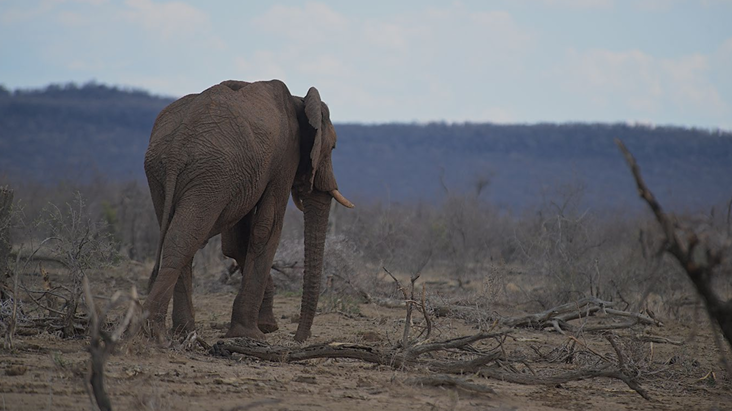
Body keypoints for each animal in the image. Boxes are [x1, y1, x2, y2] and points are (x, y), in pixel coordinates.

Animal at [142, 79, 353, 342]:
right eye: (332, 147)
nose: (298, 338)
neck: (300, 101)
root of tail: (176, 147)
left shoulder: (246, 176)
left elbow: (236, 243)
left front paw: (265, 326)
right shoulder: (285, 158)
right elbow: (267, 228)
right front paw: (252, 334)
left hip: (166, 173)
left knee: (180, 237)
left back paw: (183, 333)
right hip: (212, 174)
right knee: (183, 239)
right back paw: (157, 333)